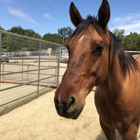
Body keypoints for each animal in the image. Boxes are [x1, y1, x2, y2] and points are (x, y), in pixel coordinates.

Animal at [54, 0, 140, 139]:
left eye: (99, 47)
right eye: (68, 47)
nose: (62, 103)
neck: (118, 92)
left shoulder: (130, 132)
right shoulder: (106, 126)